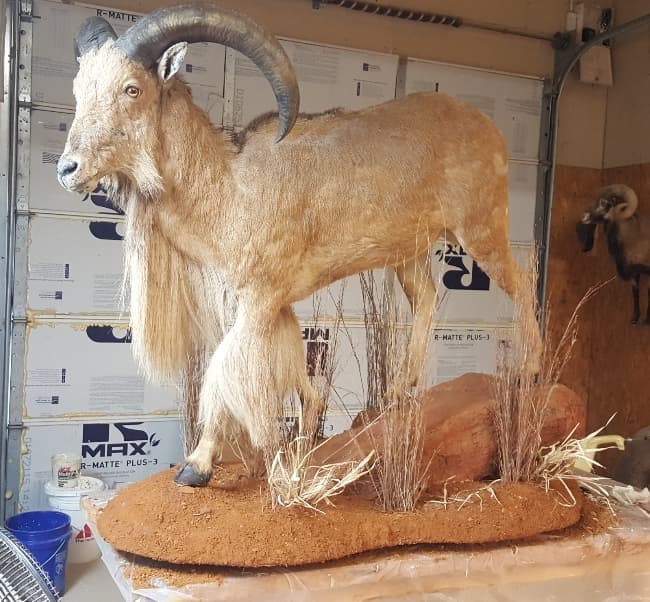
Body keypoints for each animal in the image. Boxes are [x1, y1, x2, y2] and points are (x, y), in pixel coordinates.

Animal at [57, 3, 542, 487]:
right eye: (79, 90)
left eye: (132, 88)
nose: (67, 169)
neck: (228, 186)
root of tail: (484, 123)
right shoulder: (274, 306)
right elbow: (293, 371)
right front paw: (302, 440)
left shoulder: (258, 299)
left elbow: (227, 372)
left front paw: (198, 466)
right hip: (410, 251)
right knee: (426, 296)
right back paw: (396, 394)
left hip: (479, 227)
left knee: (521, 281)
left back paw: (531, 370)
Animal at [578, 184, 650, 324]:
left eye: (604, 203)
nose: (585, 216)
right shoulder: (634, 272)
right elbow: (635, 291)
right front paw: (635, 319)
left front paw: (647, 320)